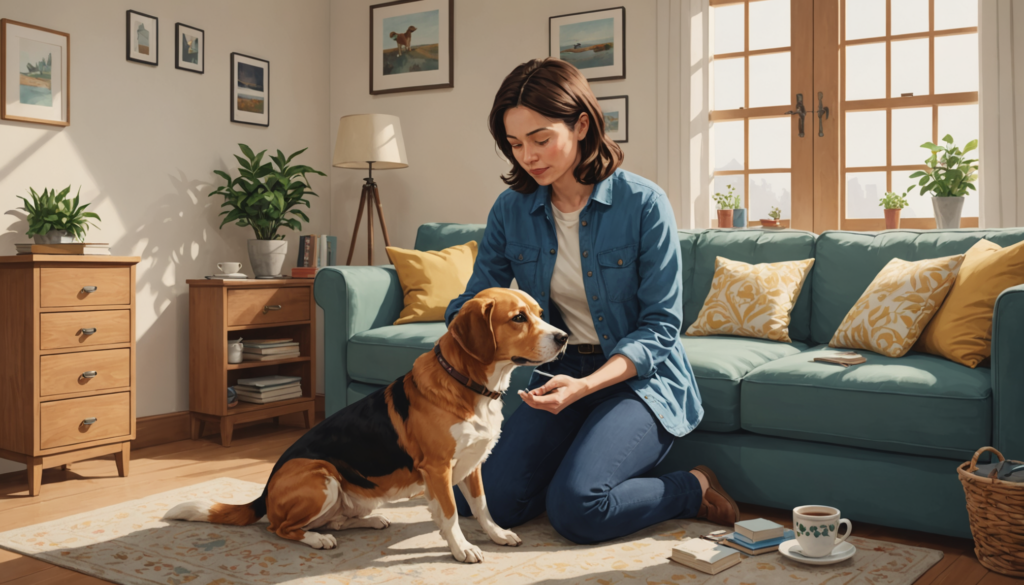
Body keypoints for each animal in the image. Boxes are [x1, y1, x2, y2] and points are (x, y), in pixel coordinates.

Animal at [166, 288, 569, 561]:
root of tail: (265, 492)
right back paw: (317, 540)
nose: (564, 337)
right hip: (321, 476)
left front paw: (498, 535)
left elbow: (483, 508)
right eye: (518, 318)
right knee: (281, 528)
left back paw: (369, 523)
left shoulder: (471, 466)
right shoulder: (438, 469)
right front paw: (462, 549)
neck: (469, 384)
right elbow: (452, 515)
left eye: (539, 312)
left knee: (332, 521)